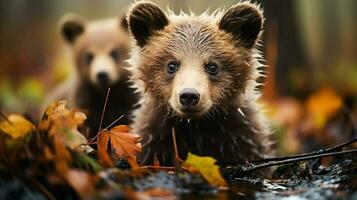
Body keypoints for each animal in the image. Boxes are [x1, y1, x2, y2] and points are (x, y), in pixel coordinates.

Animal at [126, 1, 272, 166]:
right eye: (171, 65)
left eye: (212, 67)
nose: (189, 95)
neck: (195, 126)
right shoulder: (154, 138)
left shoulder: (242, 138)